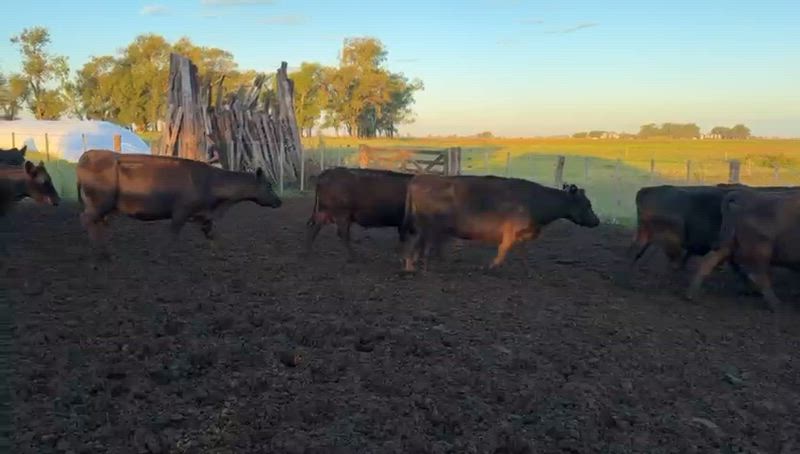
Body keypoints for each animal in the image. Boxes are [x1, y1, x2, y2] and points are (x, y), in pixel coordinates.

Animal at [76, 149, 282, 259]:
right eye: (269, 185)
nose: (279, 201)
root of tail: (88, 155)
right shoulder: (181, 212)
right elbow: (173, 236)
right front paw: (167, 256)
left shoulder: (203, 216)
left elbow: (213, 236)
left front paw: (220, 254)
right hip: (100, 203)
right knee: (86, 219)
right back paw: (102, 253)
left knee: (97, 223)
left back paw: (106, 250)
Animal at [401, 176, 600, 272]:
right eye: (588, 203)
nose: (597, 221)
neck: (534, 201)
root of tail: (419, 179)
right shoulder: (510, 232)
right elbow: (503, 250)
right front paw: (490, 267)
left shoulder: (521, 235)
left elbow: (522, 253)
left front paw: (529, 270)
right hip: (428, 226)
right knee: (417, 245)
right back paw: (413, 266)